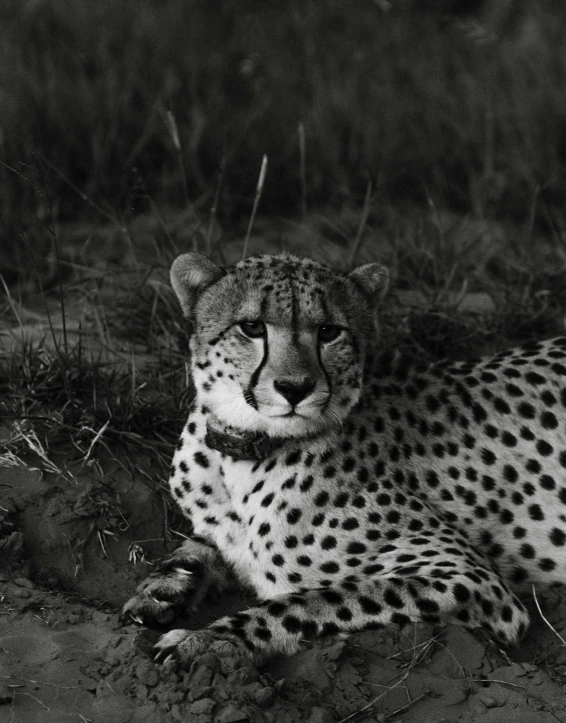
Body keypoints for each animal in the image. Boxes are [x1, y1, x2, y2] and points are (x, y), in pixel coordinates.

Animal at [123, 252, 566, 664]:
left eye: (328, 331)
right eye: (252, 327)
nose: (295, 387)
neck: (242, 451)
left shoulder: (469, 578)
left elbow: (310, 601)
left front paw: (211, 640)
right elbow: (199, 545)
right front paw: (163, 587)